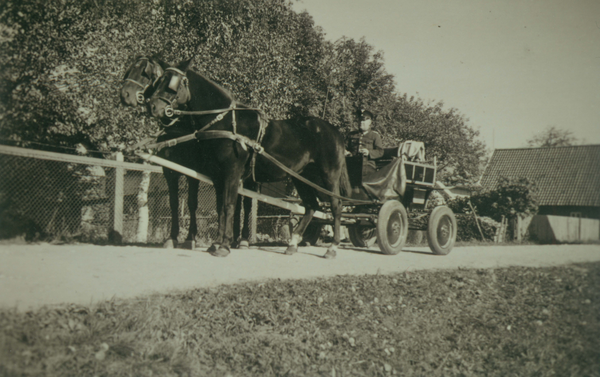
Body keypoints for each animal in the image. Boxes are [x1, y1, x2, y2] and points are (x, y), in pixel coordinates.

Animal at [120, 55, 205, 248]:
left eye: (145, 73)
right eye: (129, 70)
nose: (124, 95)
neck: (180, 130)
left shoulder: (193, 173)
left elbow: (192, 203)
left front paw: (190, 237)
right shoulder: (170, 171)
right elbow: (173, 203)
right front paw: (172, 237)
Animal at [146, 58, 352, 258]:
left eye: (171, 85)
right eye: (158, 81)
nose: (153, 107)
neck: (226, 123)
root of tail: (334, 131)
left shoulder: (232, 172)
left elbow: (229, 205)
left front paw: (224, 246)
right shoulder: (217, 176)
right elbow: (220, 207)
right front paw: (216, 243)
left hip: (328, 175)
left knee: (336, 205)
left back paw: (332, 248)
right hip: (301, 177)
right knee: (311, 206)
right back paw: (292, 244)